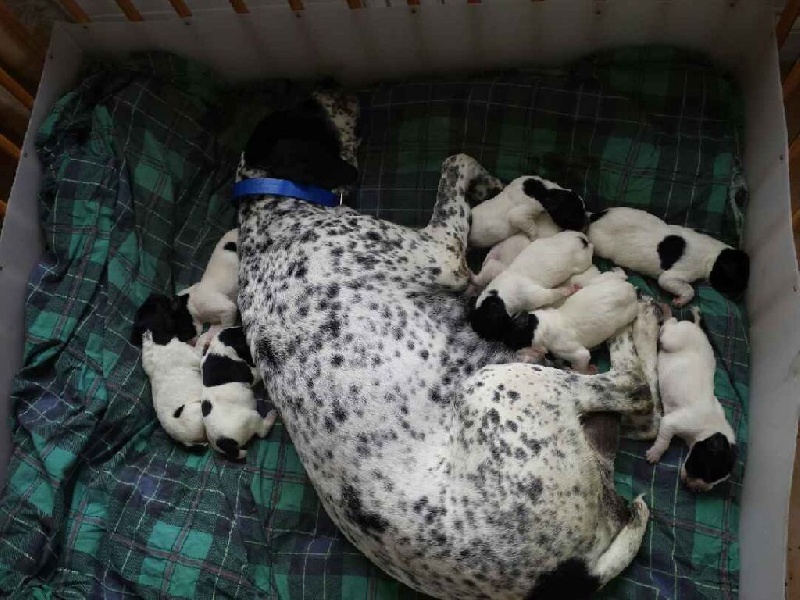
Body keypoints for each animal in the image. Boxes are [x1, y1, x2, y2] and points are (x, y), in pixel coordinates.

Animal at [132, 292, 208, 448]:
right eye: (162, 304)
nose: (152, 293)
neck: (154, 336)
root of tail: (187, 441)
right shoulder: (194, 355)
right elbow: (200, 342)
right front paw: (206, 334)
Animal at [198, 328, 276, 460]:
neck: (219, 348)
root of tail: (223, 442)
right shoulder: (251, 374)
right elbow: (257, 371)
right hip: (250, 417)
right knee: (262, 431)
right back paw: (271, 416)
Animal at [588, 207, 752, 310]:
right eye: (735, 282)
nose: (740, 297)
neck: (714, 255)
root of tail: (595, 215)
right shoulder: (670, 277)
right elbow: (689, 290)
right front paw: (681, 300)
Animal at [644, 308, 736, 490]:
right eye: (703, 468)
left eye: (713, 484)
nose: (696, 489)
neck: (711, 430)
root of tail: (697, 329)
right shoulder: (671, 423)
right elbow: (664, 442)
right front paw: (655, 453)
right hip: (673, 339)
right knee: (670, 324)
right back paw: (667, 312)